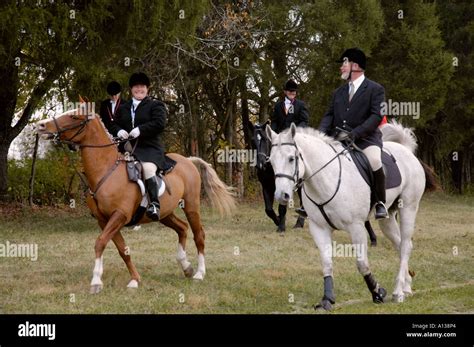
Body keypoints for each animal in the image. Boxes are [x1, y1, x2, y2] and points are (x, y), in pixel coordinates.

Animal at [38, 108, 236, 294]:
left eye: (74, 117)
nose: (41, 125)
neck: (106, 171)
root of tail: (187, 160)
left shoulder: (119, 216)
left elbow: (100, 243)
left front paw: (95, 281)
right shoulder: (104, 220)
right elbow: (122, 249)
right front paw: (134, 279)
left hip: (191, 206)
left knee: (199, 235)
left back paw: (199, 273)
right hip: (164, 213)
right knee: (182, 228)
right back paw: (186, 266)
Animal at [264, 121, 436, 310]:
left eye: (291, 158)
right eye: (271, 161)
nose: (281, 196)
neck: (327, 178)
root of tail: (405, 150)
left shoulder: (356, 227)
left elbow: (362, 264)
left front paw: (377, 292)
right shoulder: (319, 228)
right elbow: (327, 264)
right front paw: (327, 299)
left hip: (409, 208)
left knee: (405, 246)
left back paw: (398, 291)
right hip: (388, 219)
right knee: (401, 245)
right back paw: (406, 286)